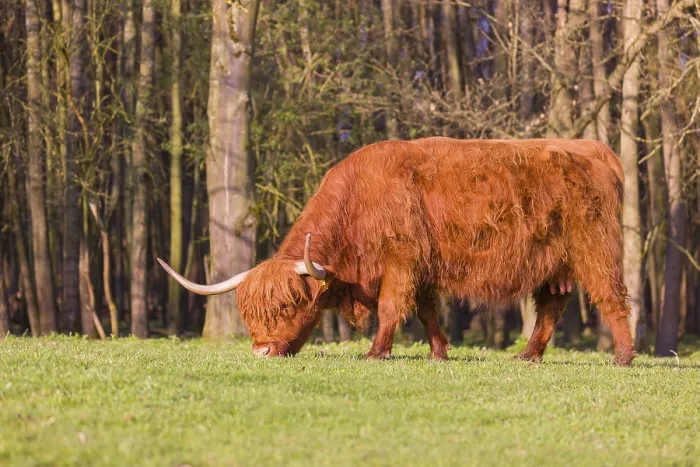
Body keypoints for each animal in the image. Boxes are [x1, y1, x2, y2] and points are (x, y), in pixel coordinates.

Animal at [159, 137, 636, 366]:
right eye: (250, 313)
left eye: (289, 306)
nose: (262, 352)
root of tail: (595, 148)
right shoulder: (421, 269)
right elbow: (427, 313)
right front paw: (440, 353)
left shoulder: (401, 261)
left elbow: (392, 308)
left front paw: (375, 352)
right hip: (553, 263)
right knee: (552, 306)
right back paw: (527, 355)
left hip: (595, 246)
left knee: (612, 299)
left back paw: (623, 358)